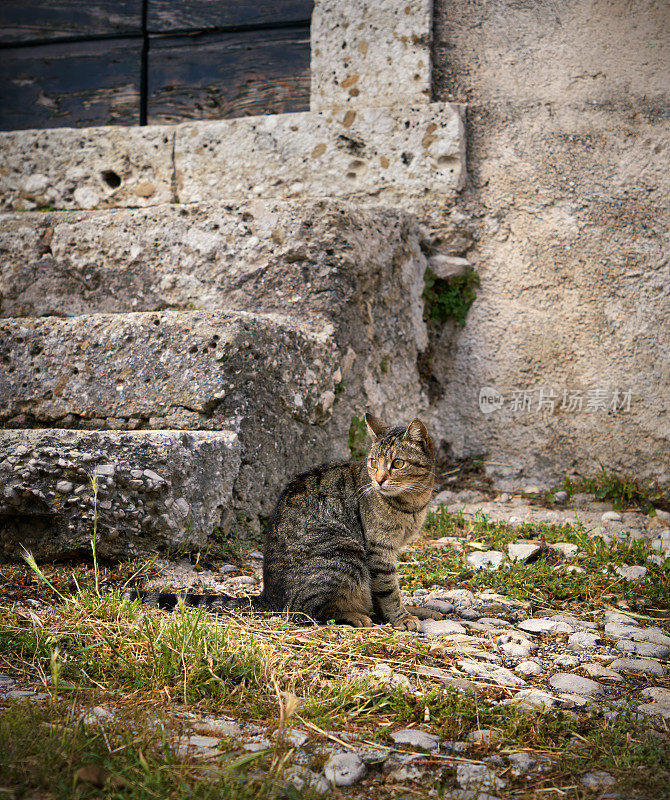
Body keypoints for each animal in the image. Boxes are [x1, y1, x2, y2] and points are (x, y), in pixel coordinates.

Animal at [126, 412, 444, 632]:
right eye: (373, 462)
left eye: (397, 463)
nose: (378, 480)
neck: (413, 503)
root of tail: (269, 596)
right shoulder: (378, 550)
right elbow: (388, 590)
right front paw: (401, 618)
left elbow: (387, 592)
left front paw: (411, 611)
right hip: (344, 552)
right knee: (313, 611)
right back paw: (356, 615)